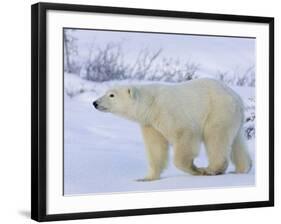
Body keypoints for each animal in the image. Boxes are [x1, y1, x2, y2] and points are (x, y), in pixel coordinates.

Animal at [93, 78, 250, 180]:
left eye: (111, 95)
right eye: (106, 92)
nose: (95, 102)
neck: (151, 104)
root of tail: (237, 97)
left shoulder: (169, 113)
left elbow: (185, 136)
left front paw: (195, 169)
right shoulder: (150, 124)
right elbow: (156, 148)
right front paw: (146, 177)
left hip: (218, 111)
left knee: (216, 138)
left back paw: (211, 169)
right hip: (232, 118)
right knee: (236, 142)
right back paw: (243, 168)